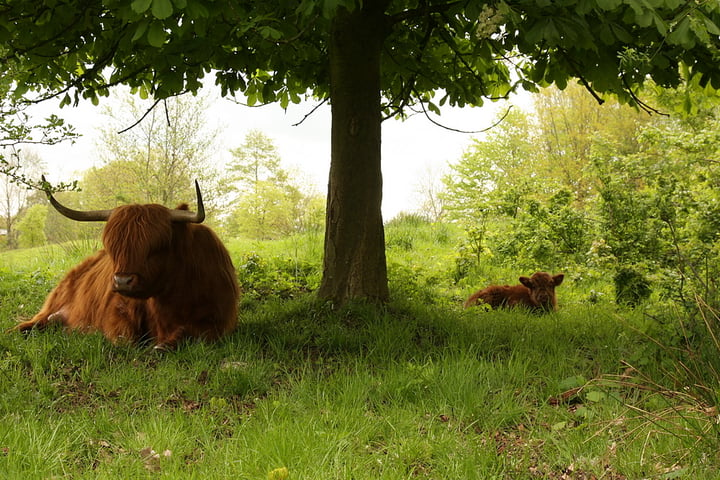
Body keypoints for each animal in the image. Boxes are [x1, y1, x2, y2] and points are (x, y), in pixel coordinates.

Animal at [13, 180, 239, 348]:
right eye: (113, 248)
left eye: (158, 247)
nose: (122, 281)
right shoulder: (117, 313)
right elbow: (125, 339)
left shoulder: (218, 322)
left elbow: (186, 335)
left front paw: (163, 344)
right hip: (54, 301)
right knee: (34, 321)